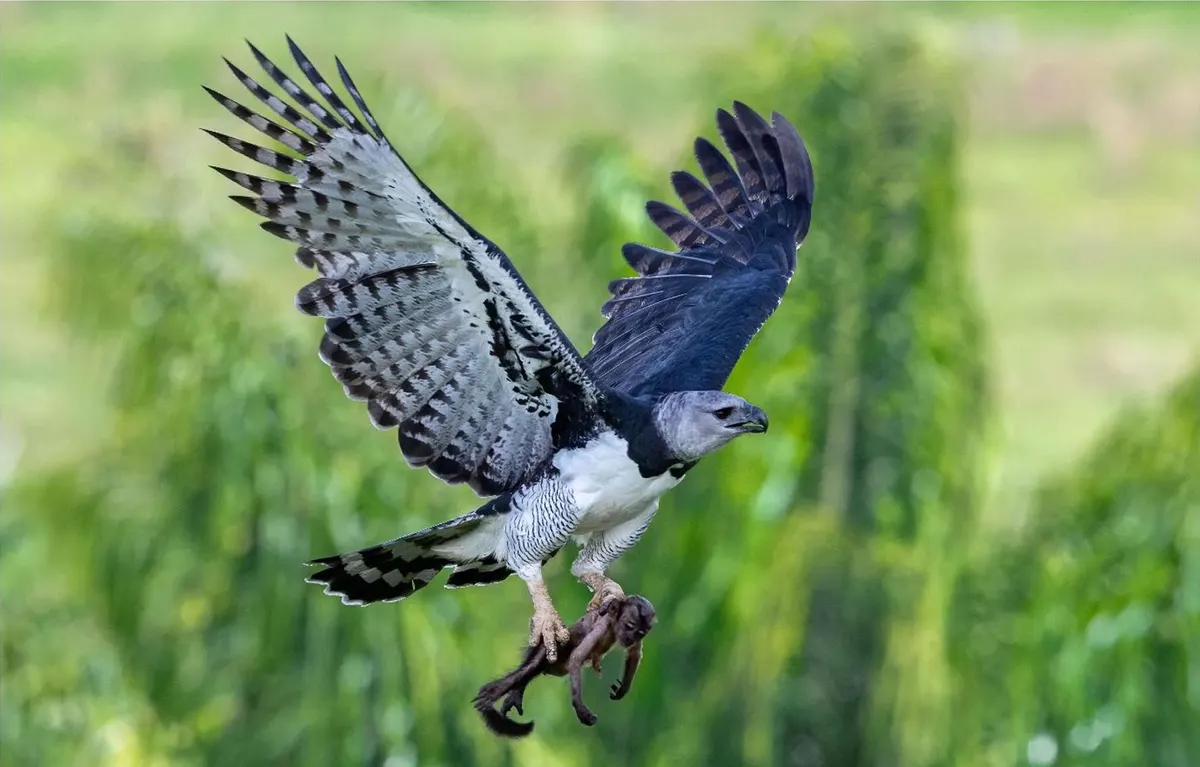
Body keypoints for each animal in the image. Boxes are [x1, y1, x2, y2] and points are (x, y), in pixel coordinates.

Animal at [473, 594, 657, 737]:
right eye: (629, 625)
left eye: (640, 633)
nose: (630, 638)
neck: (613, 626)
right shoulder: (601, 627)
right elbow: (577, 658)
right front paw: (579, 706)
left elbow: (634, 654)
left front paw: (623, 688)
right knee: (531, 666)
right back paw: (490, 695)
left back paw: (513, 693)